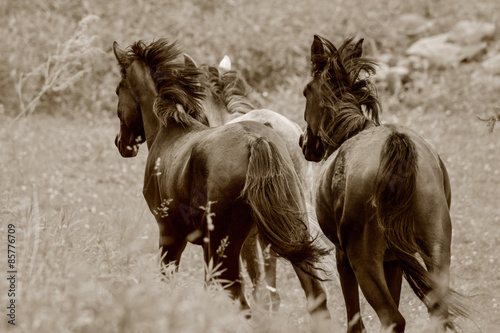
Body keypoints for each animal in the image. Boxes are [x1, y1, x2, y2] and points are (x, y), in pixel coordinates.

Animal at [113, 37, 332, 316]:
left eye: (118, 90)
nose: (121, 143)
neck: (170, 130)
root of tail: (256, 140)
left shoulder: (170, 236)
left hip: (226, 248)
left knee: (242, 298)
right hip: (294, 233)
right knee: (315, 296)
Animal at [298, 35, 466, 330]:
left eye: (307, 91)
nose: (304, 143)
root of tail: (396, 142)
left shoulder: (344, 257)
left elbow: (355, 320)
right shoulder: (394, 261)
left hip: (363, 260)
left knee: (392, 318)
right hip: (437, 249)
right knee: (437, 312)